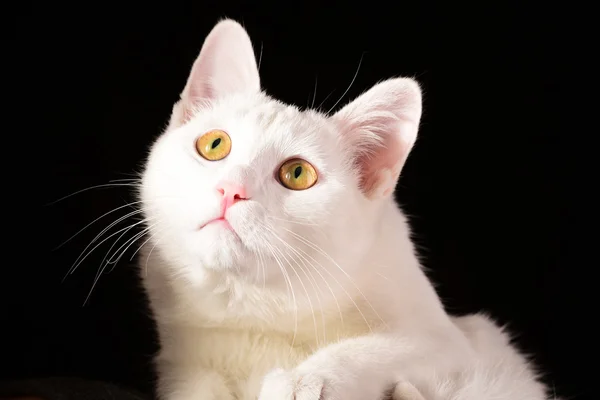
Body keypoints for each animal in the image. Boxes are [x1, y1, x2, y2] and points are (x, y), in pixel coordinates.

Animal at [137, 18, 552, 400]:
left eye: (298, 173)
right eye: (214, 145)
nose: (232, 190)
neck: (259, 315)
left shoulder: (456, 341)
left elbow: (386, 346)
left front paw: (304, 380)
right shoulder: (183, 363)